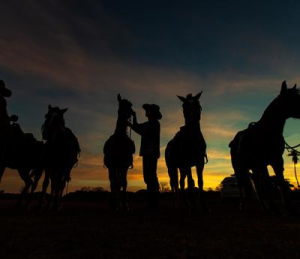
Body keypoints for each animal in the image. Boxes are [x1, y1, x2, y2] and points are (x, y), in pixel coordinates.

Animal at [230, 82, 300, 215]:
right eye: (291, 98)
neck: (267, 131)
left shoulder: (277, 161)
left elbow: (281, 183)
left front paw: (289, 208)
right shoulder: (263, 162)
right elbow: (268, 183)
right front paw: (274, 208)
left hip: (254, 168)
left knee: (257, 184)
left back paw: (264, 206)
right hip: (239, 168)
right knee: (241, 185)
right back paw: (242, 206)